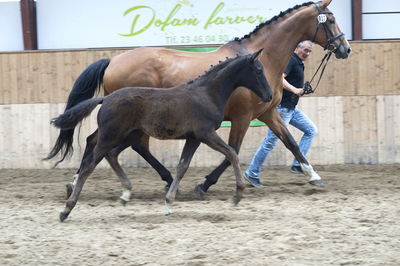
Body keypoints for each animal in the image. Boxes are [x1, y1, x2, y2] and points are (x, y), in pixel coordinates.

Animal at [46, 0, 350, 200]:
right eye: (331, 19)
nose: (345, 48)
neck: (259, 60)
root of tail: (113, 60)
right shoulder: (241, 118)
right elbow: (233, 151)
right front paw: (205, 184)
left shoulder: (268, 113)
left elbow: (290, 142)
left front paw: (314, 176)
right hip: (127, 121)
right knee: (115, 144)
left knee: (107, 143)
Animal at [51, 50, 274, 222]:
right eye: (258, 70)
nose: (270, 96)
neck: (207, 94)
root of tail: (105, 98)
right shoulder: (206, 134)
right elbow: (232, 154)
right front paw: (237, 195)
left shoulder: (193, 138)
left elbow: (183, 166)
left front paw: (168, 203)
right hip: (112, 135)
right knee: (89, 165)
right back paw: (66, 209)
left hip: (128, 135)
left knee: (110, 154)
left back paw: (125, 191)